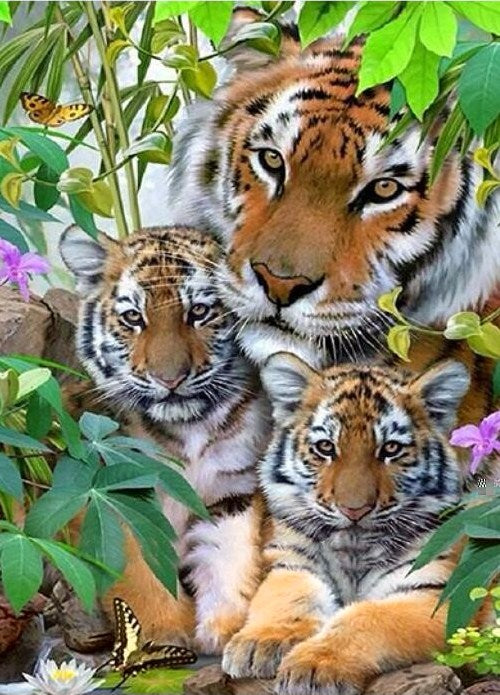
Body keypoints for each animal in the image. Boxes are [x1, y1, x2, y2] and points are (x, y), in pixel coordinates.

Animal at [59, 224, 271, 654]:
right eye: (133, 318)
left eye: (199, 312)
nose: (170, 379)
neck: (188, 428)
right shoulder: (117, 497)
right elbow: (139, 572)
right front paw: (164, 634)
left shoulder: (231, 492)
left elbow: (229, 554)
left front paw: (224, 626)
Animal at [222, 352, 484, 694]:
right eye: (325, 447)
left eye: (390, 449)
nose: (354, 510)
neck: (353, 549)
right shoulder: (293, 564)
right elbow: (288, 596)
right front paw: (259, 643)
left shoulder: (436, 593)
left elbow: (366, 618)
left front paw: (314, 666)